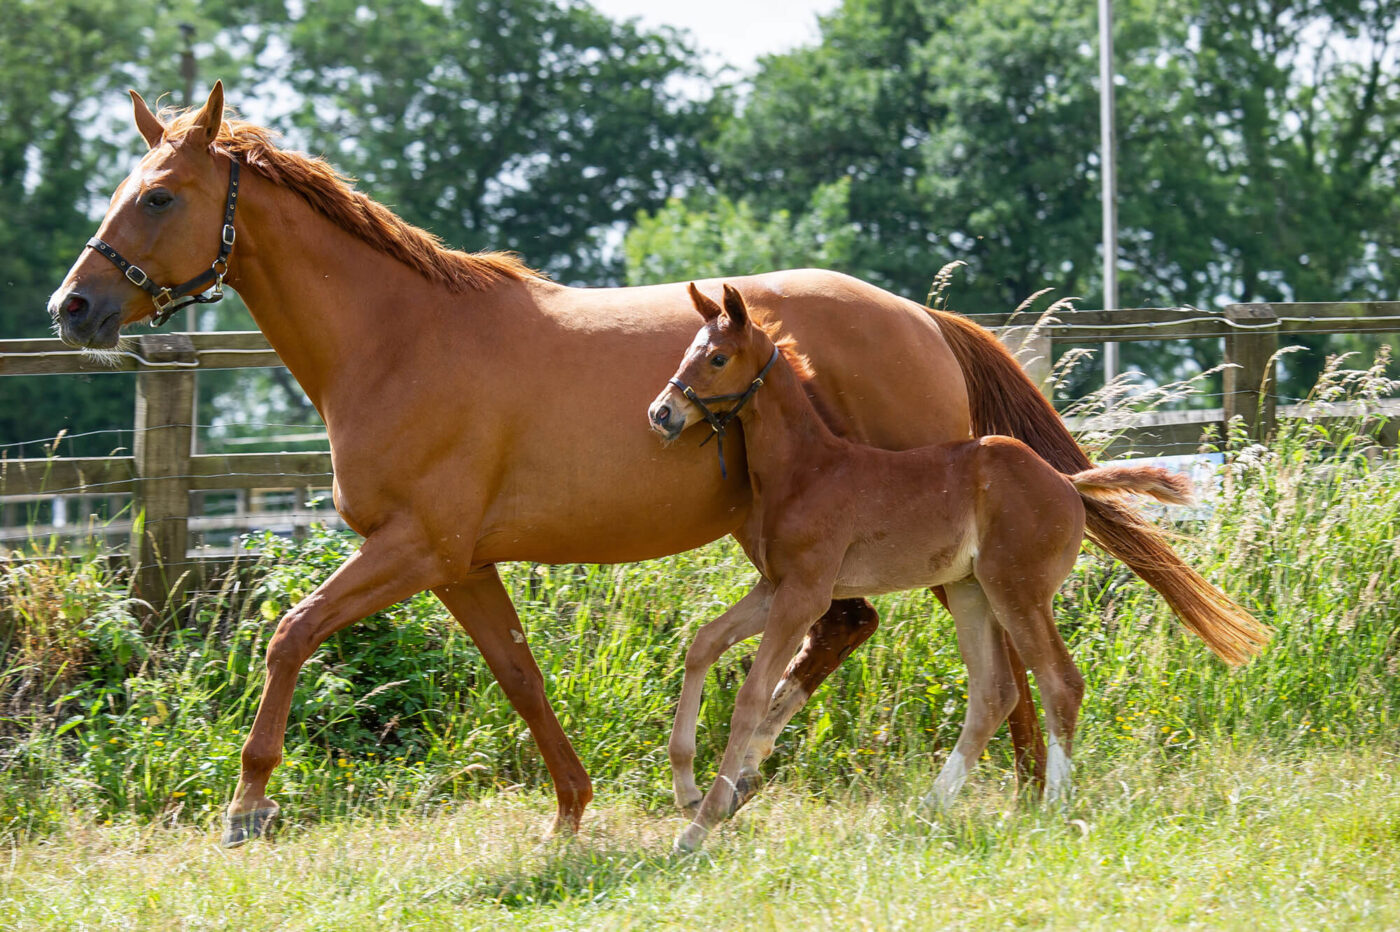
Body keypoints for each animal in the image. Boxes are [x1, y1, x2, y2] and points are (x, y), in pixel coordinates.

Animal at [652, 285, 1192, 850]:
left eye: (717, 357)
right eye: (688, 349)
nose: (661, 413)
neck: (807, 469)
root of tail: (1067, 483)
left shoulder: (805, 594)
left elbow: (752, 696)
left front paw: (700, 824)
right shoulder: (773, 588)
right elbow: (704, 643)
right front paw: (686, 785)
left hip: (1018, 591)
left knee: (1058, 681)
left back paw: (1054, 807)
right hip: (972, 592)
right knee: (993, 694)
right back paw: (931, 806)